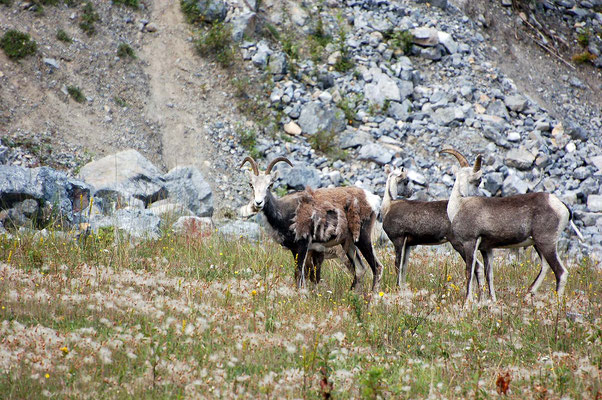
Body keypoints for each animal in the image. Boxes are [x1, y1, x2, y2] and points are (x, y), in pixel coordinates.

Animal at [238, 156, 382, 290]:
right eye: (251, 185)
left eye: (270, 185)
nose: (258, 203)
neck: (285, 212)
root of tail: (372, 199)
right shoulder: (295, 250)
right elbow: (300, 275)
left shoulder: (303, 246)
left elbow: (300, 275)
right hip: (349, 243)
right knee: (360, 269)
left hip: (363, 239)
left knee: (377, 268)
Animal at [436, 148, 580, 302]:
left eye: (478, 181)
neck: (458, 206)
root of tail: (560, 204)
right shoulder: (486, 249)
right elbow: (489, 274)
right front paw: (492, 301)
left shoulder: (470, 244)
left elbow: (470, 271)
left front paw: (467, 303)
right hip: (539, 245)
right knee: (545, 266)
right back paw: (527, 296)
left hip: (546, 243)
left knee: (561, 272)